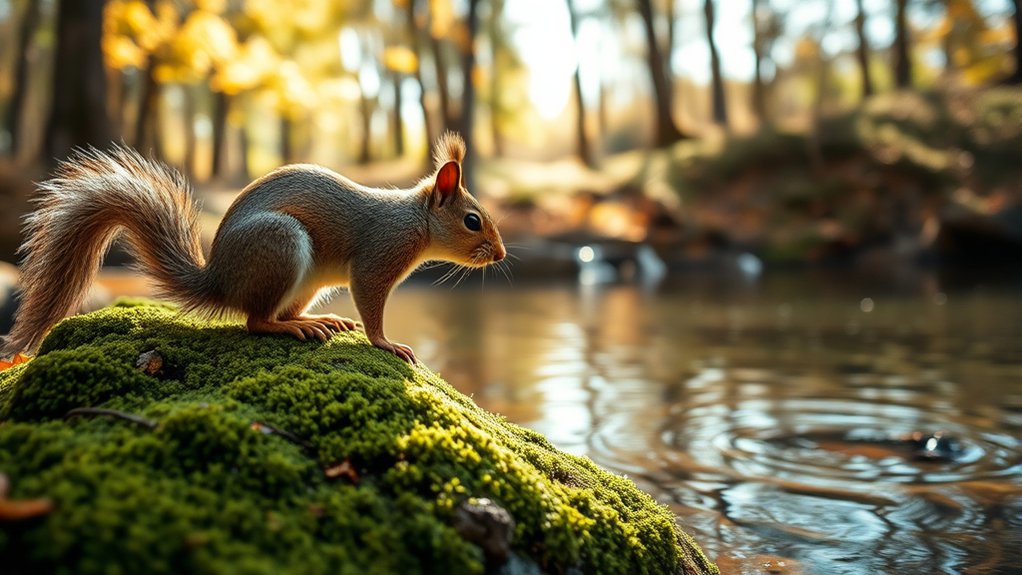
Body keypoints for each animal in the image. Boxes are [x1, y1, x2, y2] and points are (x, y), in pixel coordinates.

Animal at [2, 132, 504, 364]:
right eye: (472, 221)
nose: (499, 255)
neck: (412, 221)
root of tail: (220, 280)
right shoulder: (376, 258)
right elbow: (371, 305)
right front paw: (386, 343)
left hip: (305, 279)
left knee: (276, 313)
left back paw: (319, 321)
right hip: (281, 246)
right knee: (256, 321)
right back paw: (295, 328)